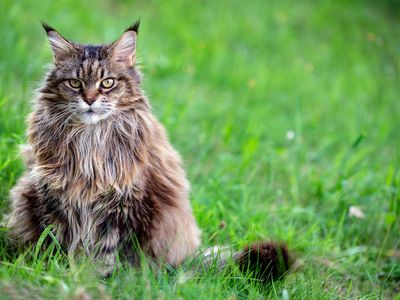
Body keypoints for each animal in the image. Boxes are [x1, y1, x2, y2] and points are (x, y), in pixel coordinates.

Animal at [7, 21, 292, 282]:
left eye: (107, 83)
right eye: (75, 83)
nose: (89, 99)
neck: (90, 140)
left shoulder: (120, 206)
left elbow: (105, 251)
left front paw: (95, 278)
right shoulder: (54, 197)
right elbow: (58, 240)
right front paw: (61, 272)